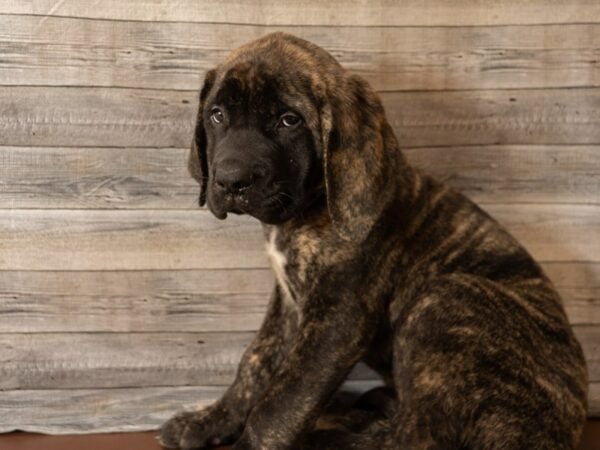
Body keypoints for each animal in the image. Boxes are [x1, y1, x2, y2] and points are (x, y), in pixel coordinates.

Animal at [158, 32, 584, 450]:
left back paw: (332, 436)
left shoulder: (339, 318)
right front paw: (207, 421)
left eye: (289, 120)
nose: (230, 180)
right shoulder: (289, 305)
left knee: (419, 434)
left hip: (446, 297)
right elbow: (256, 362)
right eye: (217, 115)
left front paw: (249, 440)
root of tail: (569, 425)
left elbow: (283, 401)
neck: (304, 213)